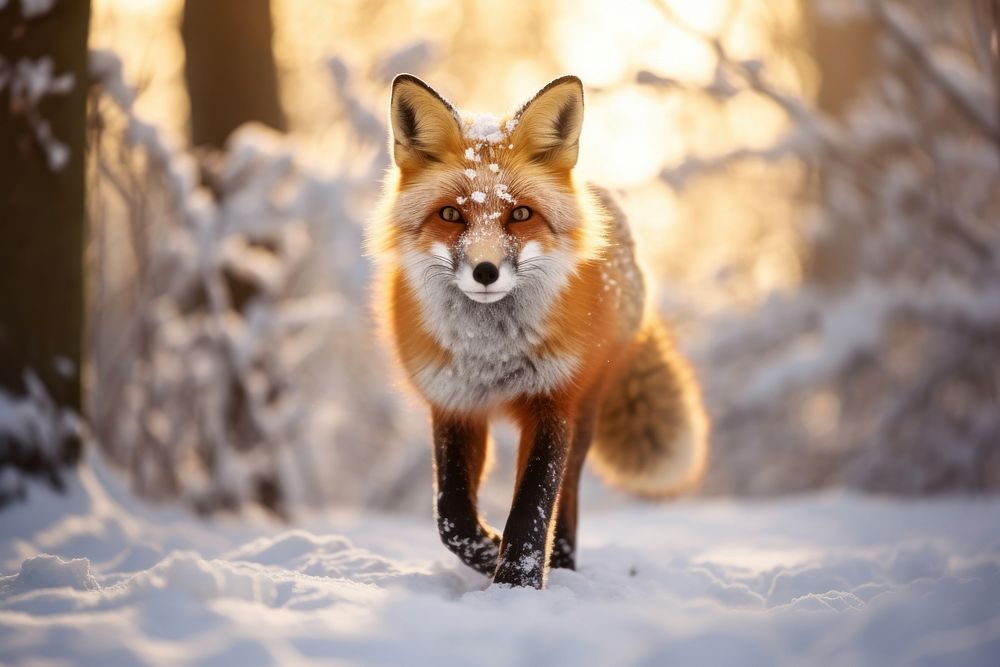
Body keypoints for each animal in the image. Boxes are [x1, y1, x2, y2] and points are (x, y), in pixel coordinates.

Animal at [370, 74, 712, 588]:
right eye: (450, 215)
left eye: (520, 214)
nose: (485, 271)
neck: (489, 355)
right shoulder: (453, 403)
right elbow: (452, 515)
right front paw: (492, 555)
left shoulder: (553, 399)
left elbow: (533, 505)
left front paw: (517, 581)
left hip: (587, 407)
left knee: (566, 493)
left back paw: (564, 562)